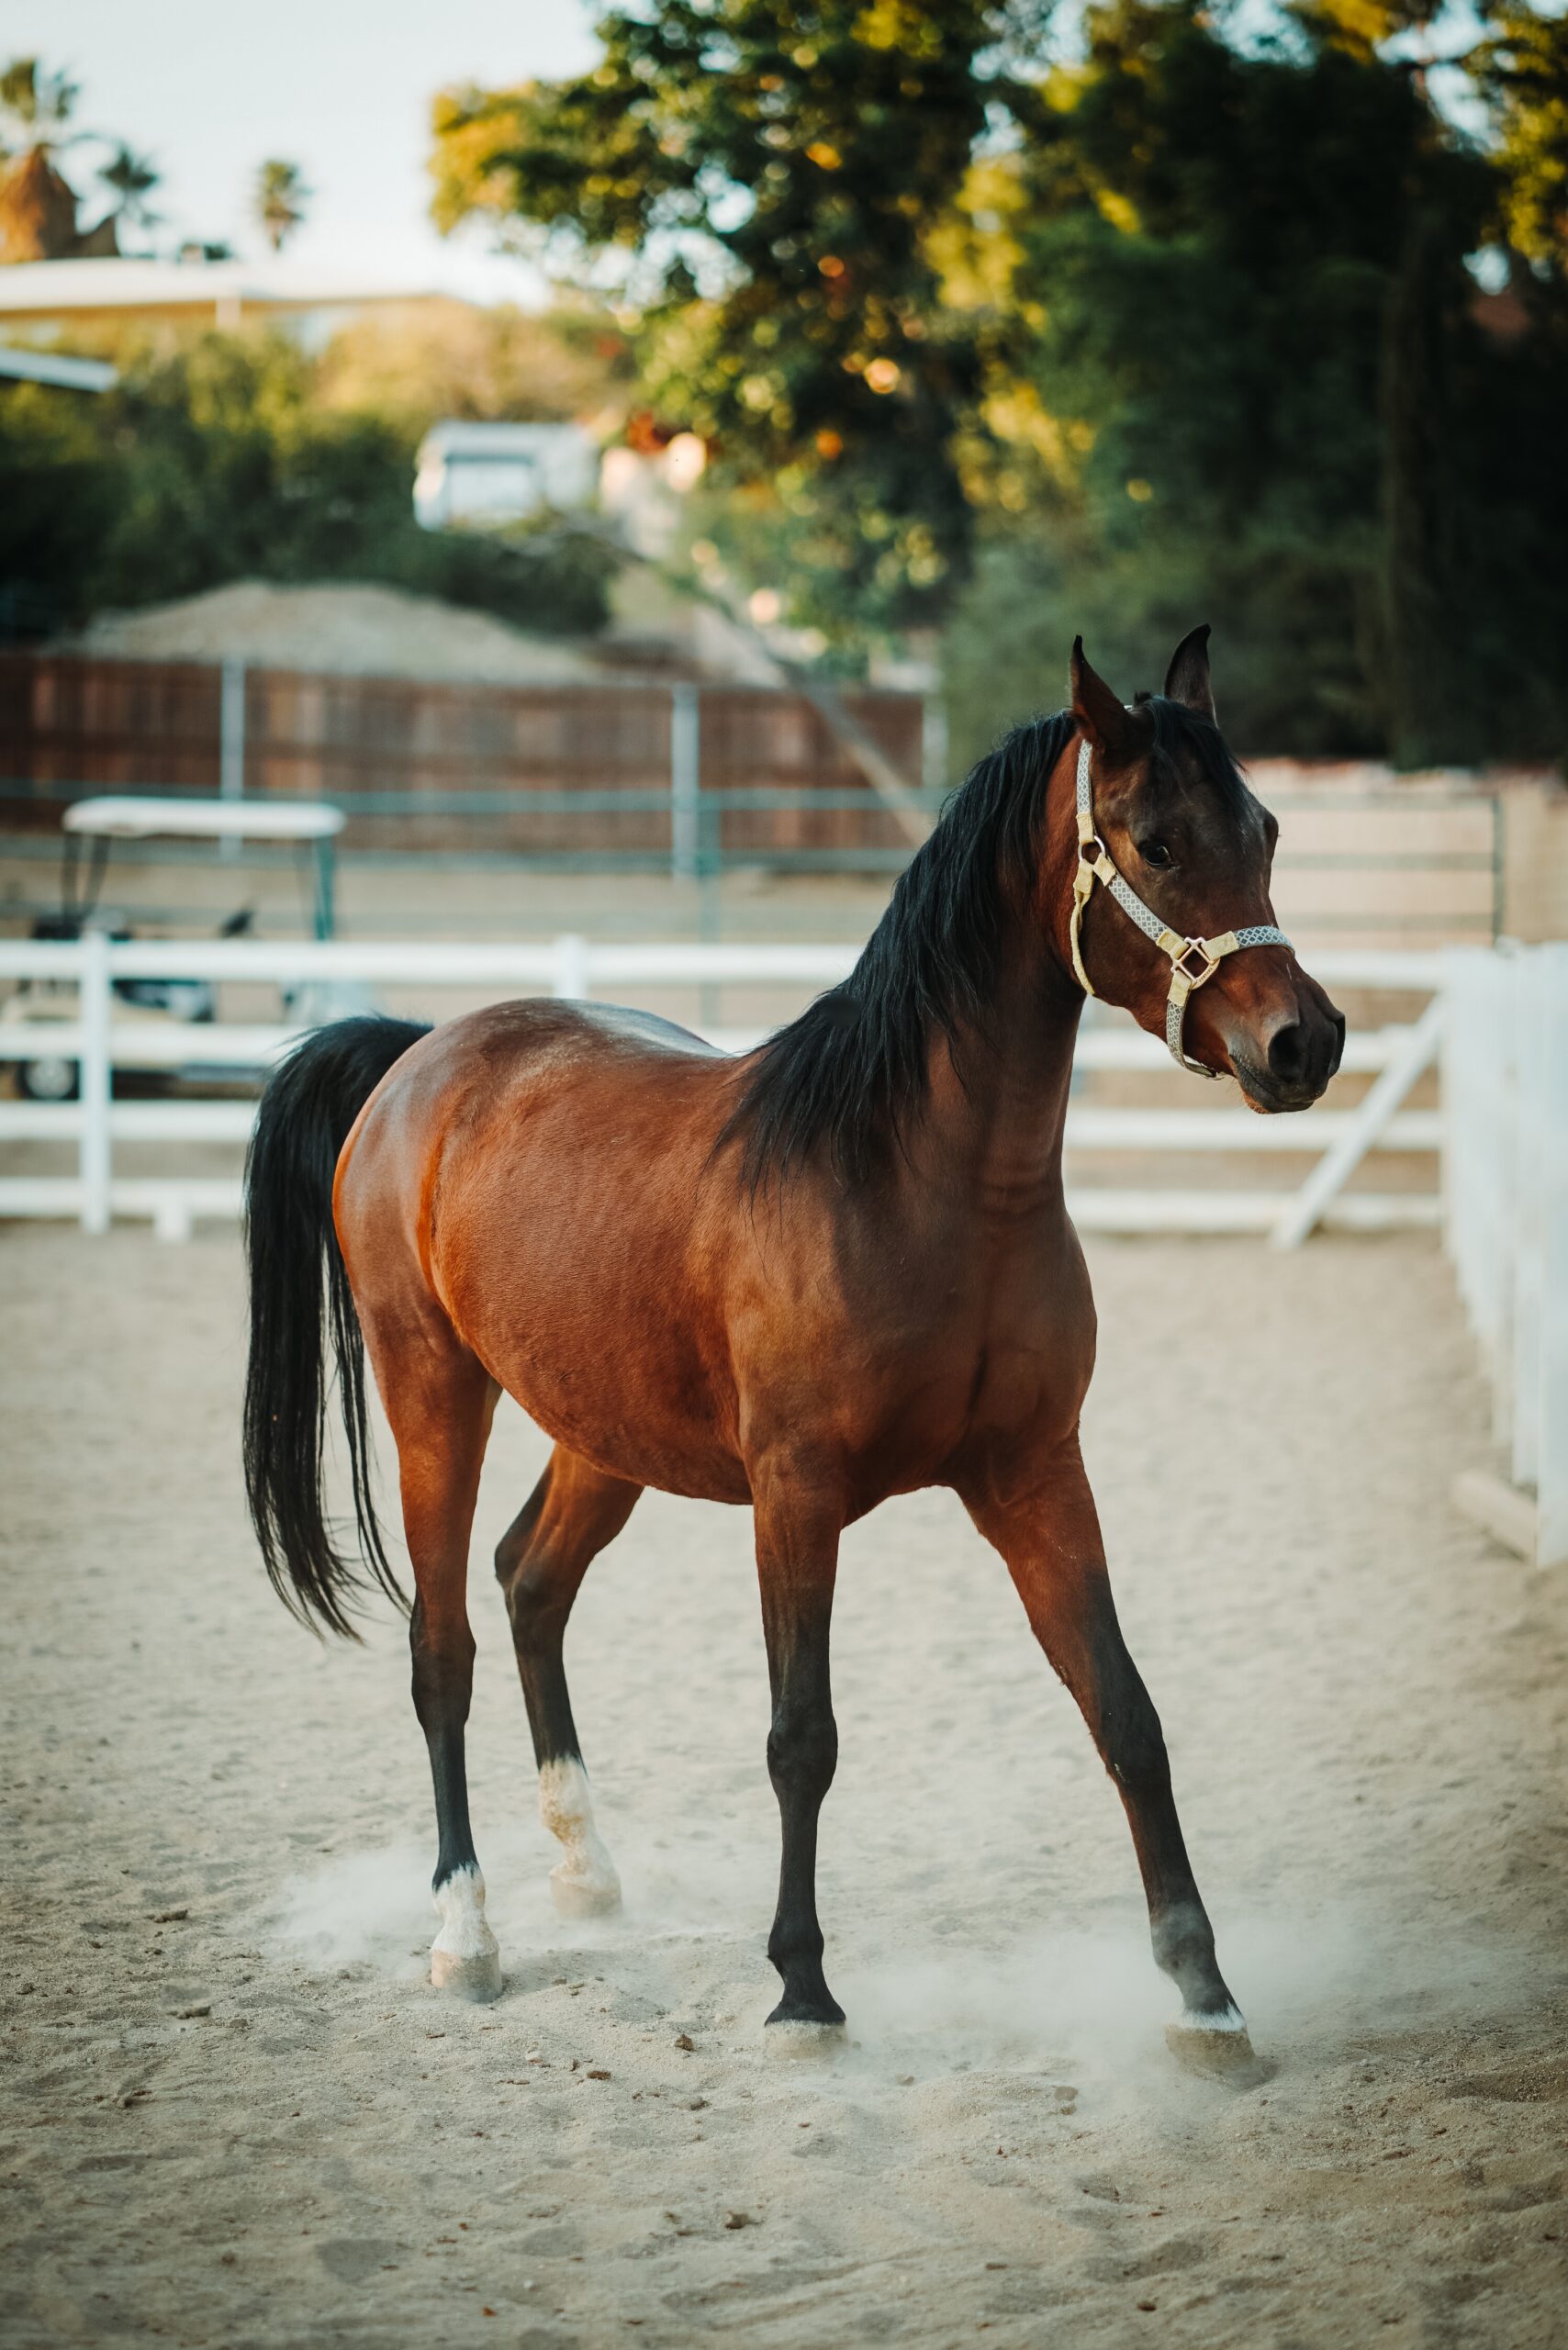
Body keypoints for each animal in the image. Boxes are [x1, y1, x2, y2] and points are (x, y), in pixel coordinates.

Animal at [240, 634, 1344, 2067]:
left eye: (1262, 829)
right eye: (1155, 842)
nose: (1303, 1042)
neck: (918, 1184)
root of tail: (420, 1056)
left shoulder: (1038, 1472)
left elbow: (1126, 1714)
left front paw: (1205, 1995)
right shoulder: (797, 1496)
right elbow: (800, 1738)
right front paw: (803, 1992)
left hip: (603, 1432)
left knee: (530, 1582)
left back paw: (587, 1874)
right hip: (434, 1391)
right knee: (444, 1651)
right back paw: (466, 1936)